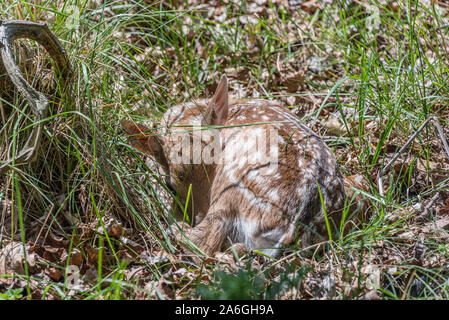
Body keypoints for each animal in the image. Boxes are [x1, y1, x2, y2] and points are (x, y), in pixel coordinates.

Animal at [122, 75, 360, 258]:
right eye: (172, 186)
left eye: (214, 162)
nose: (197, 216)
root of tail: (291, 231)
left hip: (232, 183)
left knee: (204, 246)